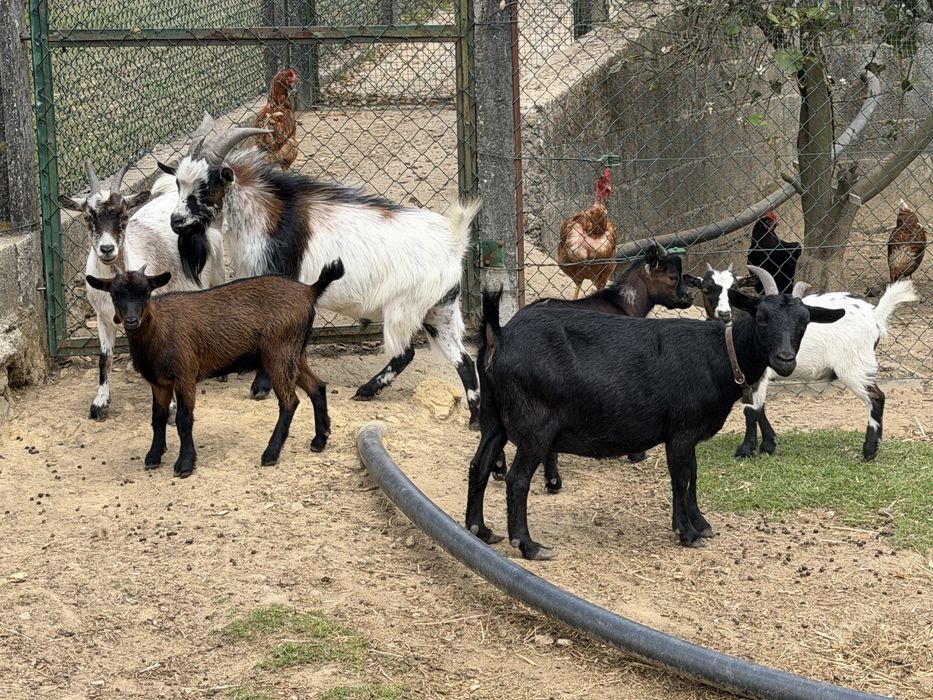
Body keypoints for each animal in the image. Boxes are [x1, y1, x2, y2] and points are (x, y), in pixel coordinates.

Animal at [59, 161, 225, 421]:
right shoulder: (102, 317)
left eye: (125, 216)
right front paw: (99, 403)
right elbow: (104, 358)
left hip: (216, 269)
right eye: (87, 217)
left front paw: (171, 406)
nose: (107, 249)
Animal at [85, 261, 344, 478]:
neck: (159, 331)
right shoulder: (159, 383)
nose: (131, 320)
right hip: (295, 353)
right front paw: (153, 456)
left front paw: (185, 464)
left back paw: (270, 454)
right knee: (317, 386)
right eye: (115, 293)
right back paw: (320, 440)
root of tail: (310, 291)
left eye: (146, 292)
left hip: (279, 353)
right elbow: (157, 417)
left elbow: (183, 419)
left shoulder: (185, 376)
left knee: (290, 401)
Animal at [156, 113, 483, 427]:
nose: (176, 221)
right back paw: (474, 420)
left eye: (208, 186)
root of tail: (453, 242)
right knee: (464, 361)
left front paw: (260, 387)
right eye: (179, 184)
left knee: (406, 352)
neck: (266, 215)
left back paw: (366, 390)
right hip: (439, 309)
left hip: (405, 307)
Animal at [494, 244, 697, 491]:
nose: (688, 297)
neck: (625, 304)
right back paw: (553, 479)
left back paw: (499, 469)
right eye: (672, 277)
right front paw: (636, 454)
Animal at [696, 264, 918, 460]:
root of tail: (874, 316)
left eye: (734, 286)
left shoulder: (760, 375)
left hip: (855, 366)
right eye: (706, 289)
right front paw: (769, 444)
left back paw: (869, 451)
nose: (723, 313)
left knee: (876, 397)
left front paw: (746, 450)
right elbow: (760, 408)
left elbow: (752, 409)